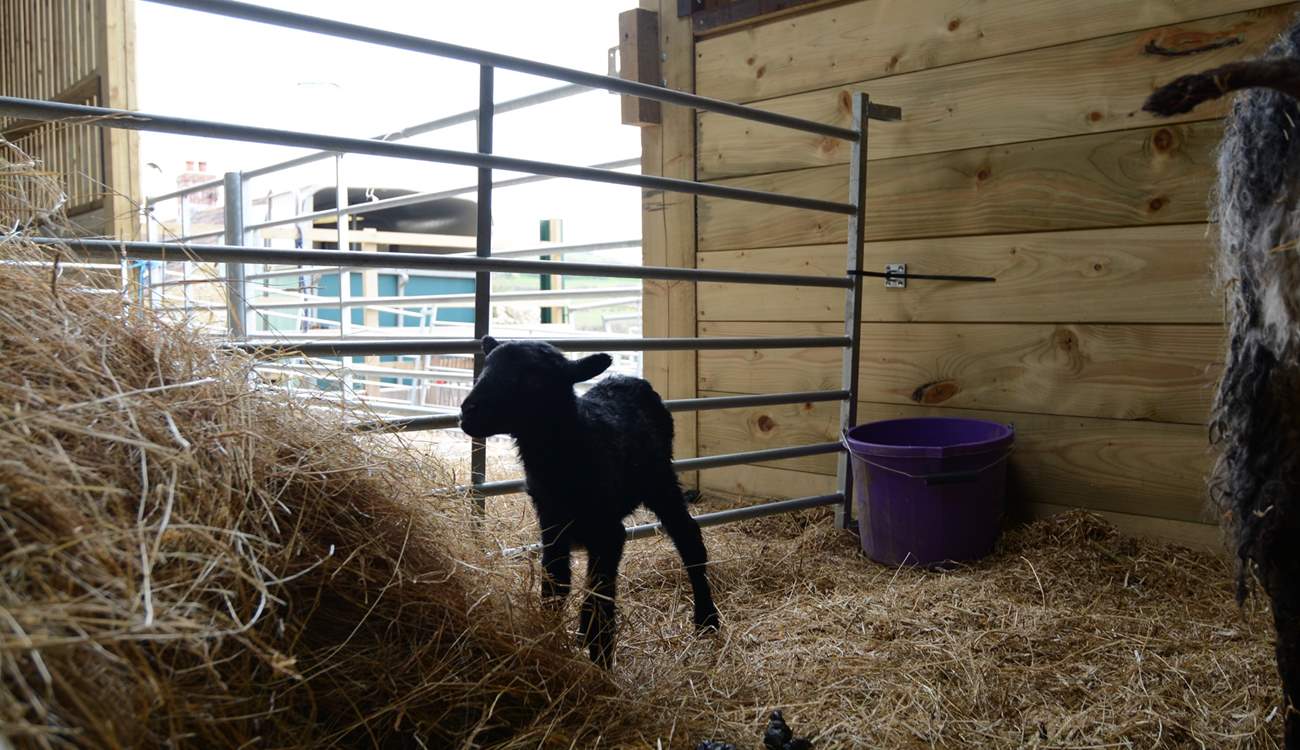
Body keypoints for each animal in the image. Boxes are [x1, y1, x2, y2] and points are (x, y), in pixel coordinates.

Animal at [458, 336, 719, 667]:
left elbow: (600, 599)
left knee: (687, 535)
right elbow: (556, 583)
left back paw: (707, 618)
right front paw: (553, 640)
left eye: (531, 377)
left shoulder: (608, 532)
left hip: (659, 480)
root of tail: (631, 379)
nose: (468, 411)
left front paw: (601, 661)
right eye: (486, 367)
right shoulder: (552, 524)